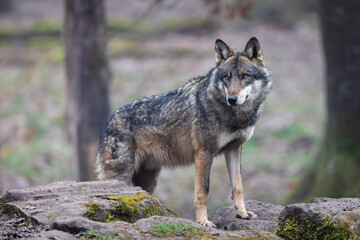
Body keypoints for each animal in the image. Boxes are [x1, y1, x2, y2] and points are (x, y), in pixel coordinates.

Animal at [95, 37, 270, 227]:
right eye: (226, 77)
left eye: (245, 76)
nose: (232, 99)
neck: (234, 115)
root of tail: (108, 121)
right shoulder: (203, 152)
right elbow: (203, 191)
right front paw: (203, 222)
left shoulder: (233, 149)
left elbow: (238, 186)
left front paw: (242, 213)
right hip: (120, 176)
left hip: (147, 181)